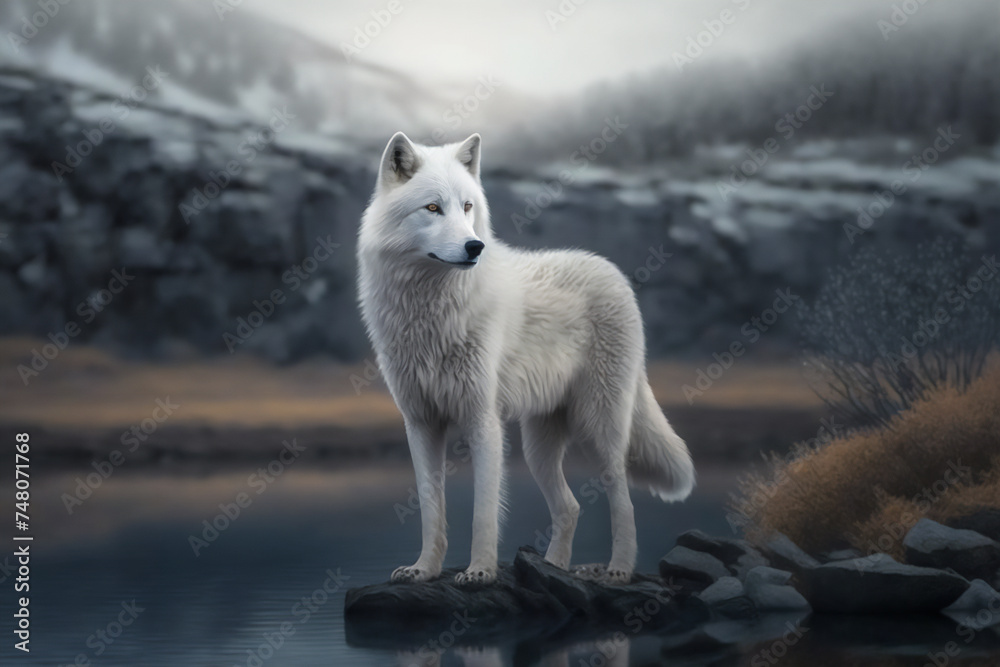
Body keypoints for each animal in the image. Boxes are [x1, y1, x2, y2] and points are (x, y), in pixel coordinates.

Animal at [357, 132, 695, 585]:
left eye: (467, 207)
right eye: (432, 208)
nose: (474, 246)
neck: (429, 313)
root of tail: (613, 272)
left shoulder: (482, 420)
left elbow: (483, 512)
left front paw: (480, 571)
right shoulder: (421, 422)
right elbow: (431, 509)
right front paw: (424, 569)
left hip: (599, 428)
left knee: (625, 502)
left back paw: (618, 570)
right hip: (539, 446)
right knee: (571, 507)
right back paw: (553, 568)